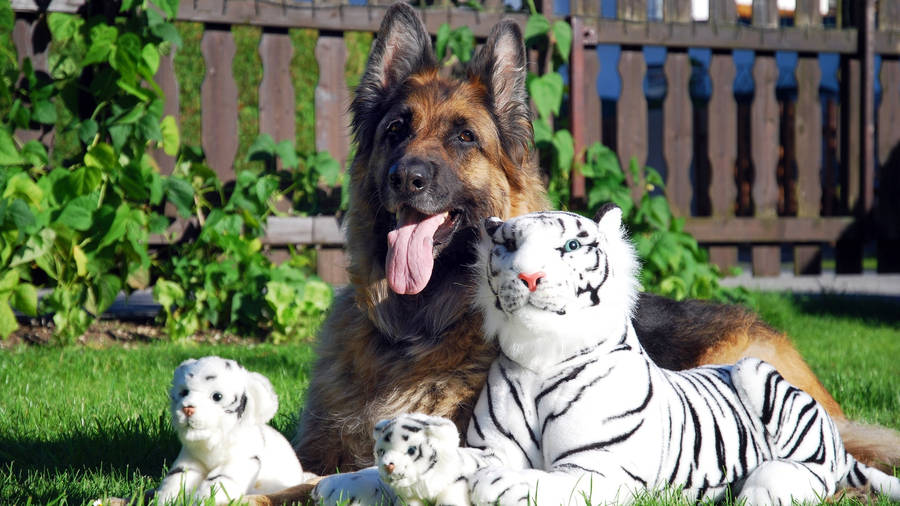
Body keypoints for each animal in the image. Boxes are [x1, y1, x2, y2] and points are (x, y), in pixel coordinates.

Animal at [457, 206, 900, 505]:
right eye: (508, 245)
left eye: (571, 246)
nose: (529, 277)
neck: (540, 361)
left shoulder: (601, 469)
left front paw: (500, 483)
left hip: (752, 372)